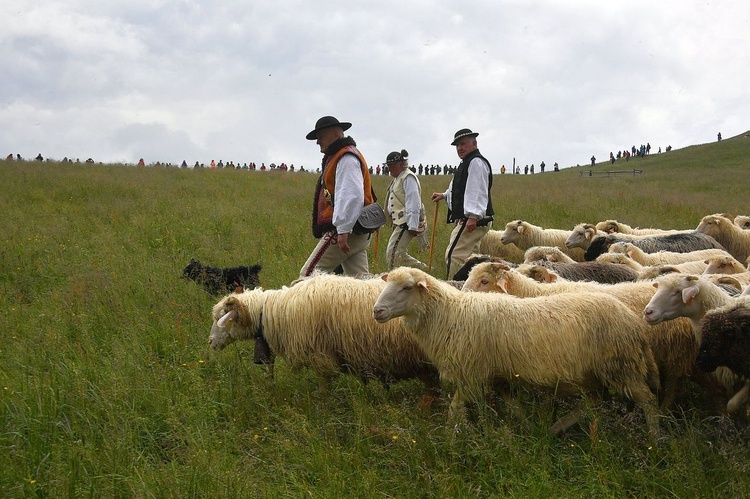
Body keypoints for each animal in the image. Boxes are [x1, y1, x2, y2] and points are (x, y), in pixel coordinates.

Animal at [374, 268, 660, 436]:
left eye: (406, 287)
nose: (377, 311)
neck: (451, 314)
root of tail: (633, 321)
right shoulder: (498, 376)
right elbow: (513, 406)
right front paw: (524, 427)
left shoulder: (472, 373)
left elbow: (455, 409)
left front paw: (453, 437)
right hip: (595, 372)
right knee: (593, 401)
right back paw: (555, 428)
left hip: (620, 365)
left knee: (648, 401)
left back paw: (655, 439)